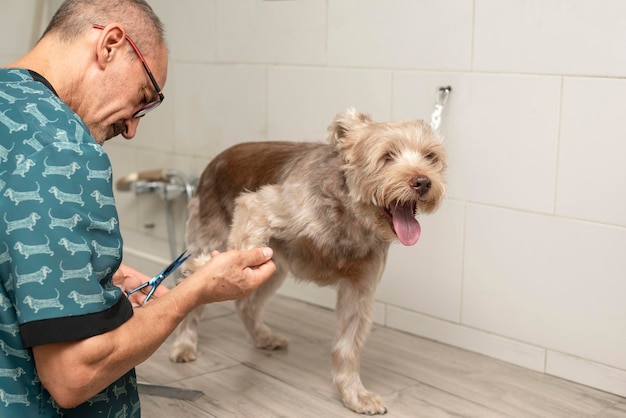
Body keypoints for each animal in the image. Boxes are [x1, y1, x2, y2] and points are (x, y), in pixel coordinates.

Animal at [168, 108, 446, 414]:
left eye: (431, 157)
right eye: (387, 156)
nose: (423, 182)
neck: (350, 216)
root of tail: (215, 160)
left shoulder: (359, 289)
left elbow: (348, 347)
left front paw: (354, 395)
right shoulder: (259, 206)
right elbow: (240, 246)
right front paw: (203, 267)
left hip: (274, 266)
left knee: (246, 304)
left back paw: (262, 337)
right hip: (211, 233)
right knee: (193, 299)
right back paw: (184, 345)